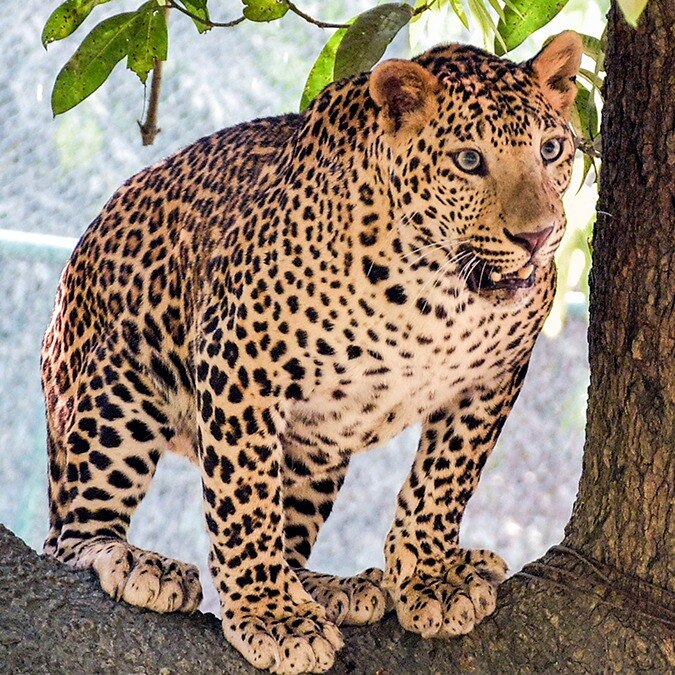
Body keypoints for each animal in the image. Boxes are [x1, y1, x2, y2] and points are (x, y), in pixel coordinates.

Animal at [41, 31, 583, 673]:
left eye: (551, 149)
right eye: (469, 161)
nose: (539, 236)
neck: (443, 297)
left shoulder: (492, 377)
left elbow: (446, 479)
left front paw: (431, 577)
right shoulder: (240, 361)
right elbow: (245, 502)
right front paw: (271, 616)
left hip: (315, 448)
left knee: (292, 535)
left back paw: (332, 587)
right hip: (117, 392)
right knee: (67, 536)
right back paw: (137, 561)